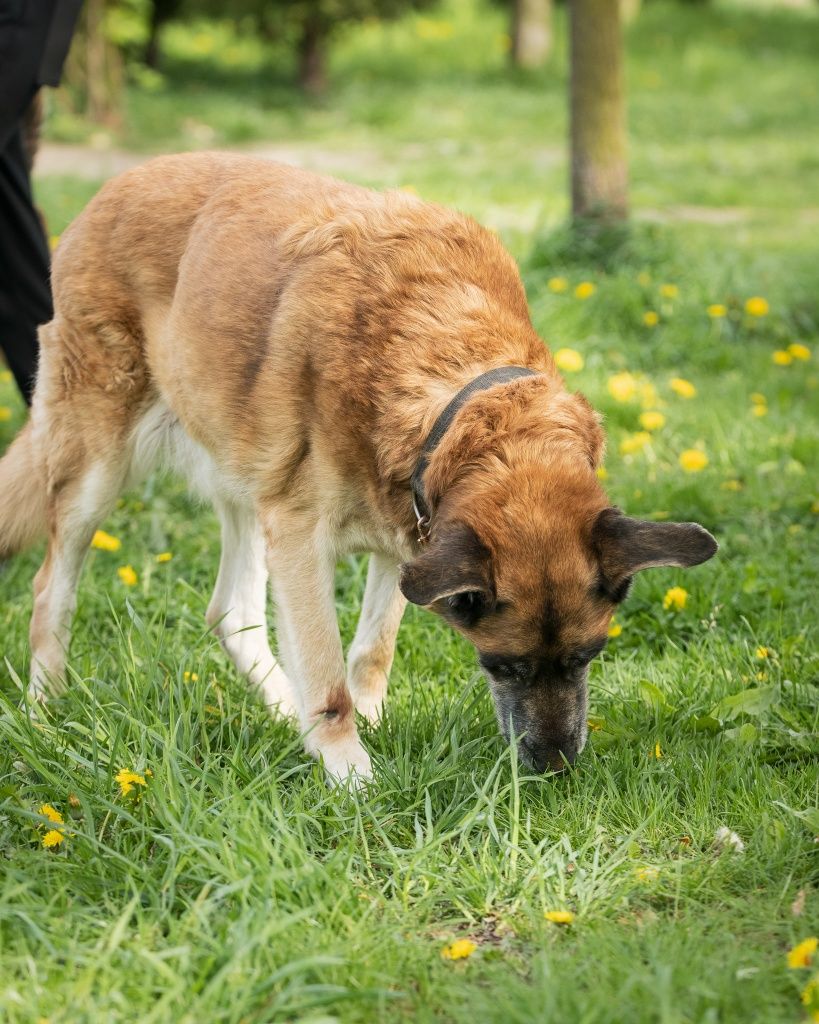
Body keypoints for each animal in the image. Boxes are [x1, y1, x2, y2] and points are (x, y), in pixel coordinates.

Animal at [0, 151, 712, 774]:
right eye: (503, 665)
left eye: (587, 657)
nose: (556, 768)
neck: (451, 371)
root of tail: (119, 182)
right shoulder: (304, 537)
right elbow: (326, 673)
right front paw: (352, 776)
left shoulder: (409, 537)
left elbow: (371, 650)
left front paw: (361, 727)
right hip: (98, 467)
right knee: (50, 590)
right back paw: (43, 714)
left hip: (246, 478)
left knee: (232, 612)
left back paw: (284, 715)